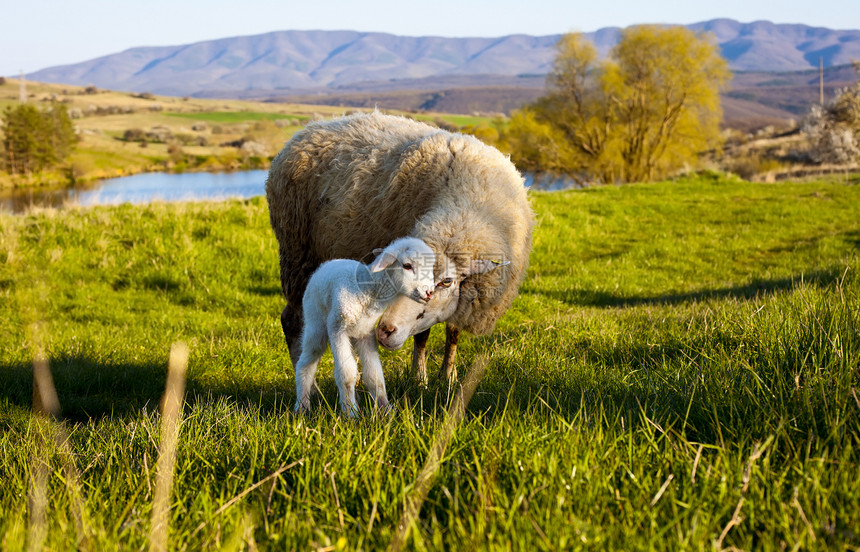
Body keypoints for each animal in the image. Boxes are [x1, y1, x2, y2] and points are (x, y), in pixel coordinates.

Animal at [266, 112, 536, 384]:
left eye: (447, 282)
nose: (385, 331)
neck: (467, 206)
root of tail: (310, 129)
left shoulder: (466, 293)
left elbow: (453, 333)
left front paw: (448, 377)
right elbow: (422, 335)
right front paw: (419, 378)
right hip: (297, 253)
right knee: (291, 321)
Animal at [292, 236, 436, 414]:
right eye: (407, 266)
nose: (429, 293)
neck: (368, 290)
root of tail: (325, 265)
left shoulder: (366, 332)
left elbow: (374, 374)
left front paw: (385, 410)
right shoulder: (337, 328)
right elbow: (346, 373)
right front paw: (350, 412)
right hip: (315, 323)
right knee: (306, 362)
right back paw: (302, 406)